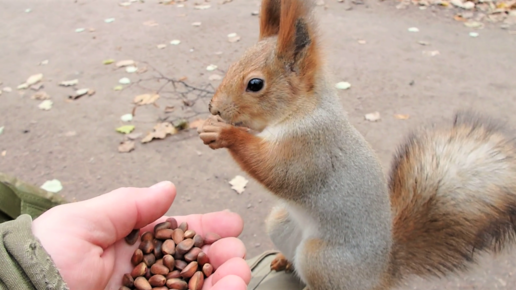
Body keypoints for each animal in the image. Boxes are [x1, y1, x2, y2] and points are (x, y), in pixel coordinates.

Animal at [196, 0, 516, 290]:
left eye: (255, 84)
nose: (214, 108)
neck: (305, 110)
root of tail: (381, 274)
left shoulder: (311, 149)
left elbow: (276, 171)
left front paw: (223, 133)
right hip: (281, 223)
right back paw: (284, 261)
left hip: (321, 258)